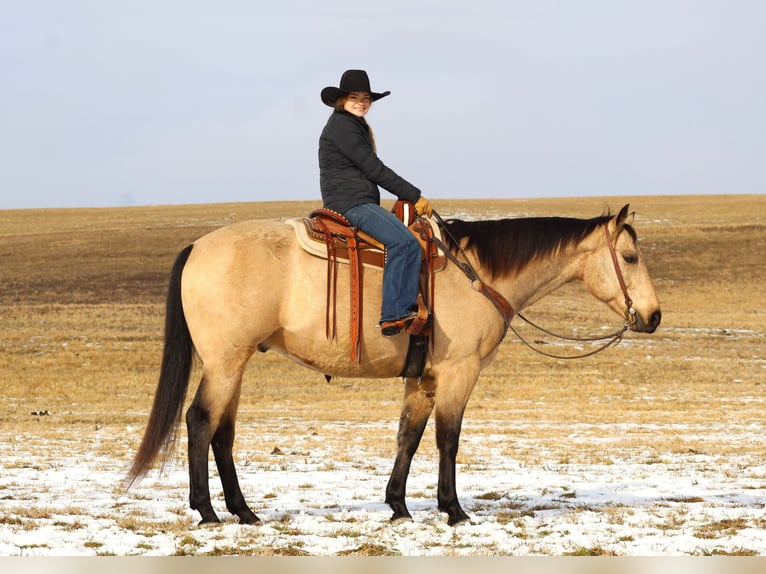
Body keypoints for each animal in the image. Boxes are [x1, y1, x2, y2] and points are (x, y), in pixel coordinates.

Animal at [126, 205, 660, 528]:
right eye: (630, 256)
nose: (653, 316)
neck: (478, 275)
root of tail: (197, 247)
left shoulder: (424, 378)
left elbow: (409, 435)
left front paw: (399, 506)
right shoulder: (460, 372)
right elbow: (448, 439)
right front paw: (453, 510)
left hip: (234, 365)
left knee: (222, 432)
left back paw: (244, 512)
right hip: (224, 362)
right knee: (200, 421)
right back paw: (208, 512)